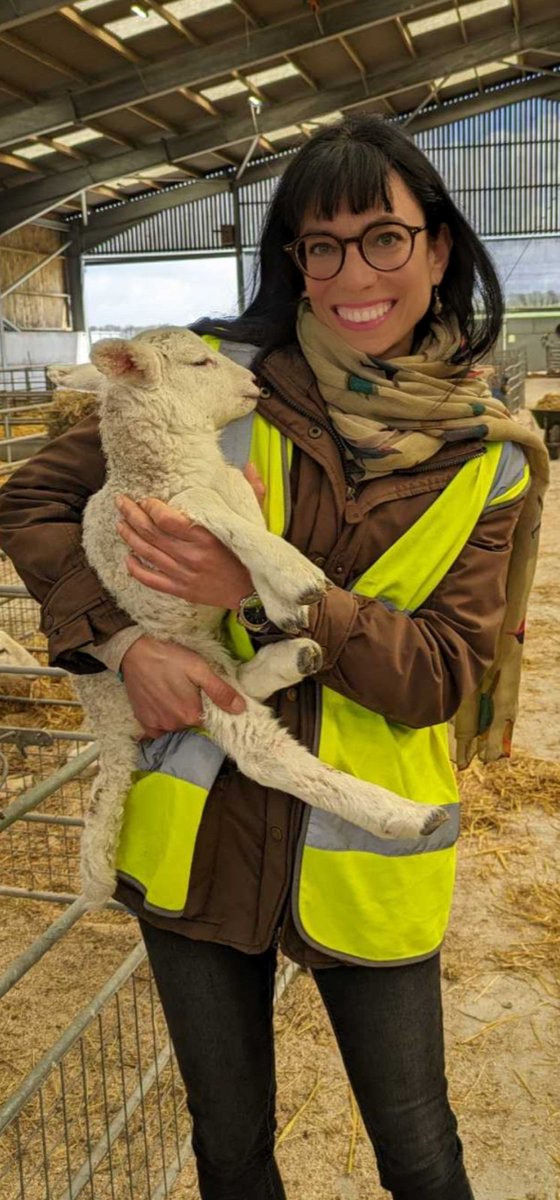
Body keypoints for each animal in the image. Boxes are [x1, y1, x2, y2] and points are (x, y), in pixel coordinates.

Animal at [77, 327, 447, 907]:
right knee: (263, 754)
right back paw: (407, 815)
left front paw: (278, 598)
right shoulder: (163, 508)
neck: (167, 461)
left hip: (204, 657)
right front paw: (295, 579)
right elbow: (215, 508)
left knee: (241, 681)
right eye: (200, 363)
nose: (256, 384)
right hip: (187, 670)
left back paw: (295, 656)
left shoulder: (229, 484)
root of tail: (110, 734)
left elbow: (245, 508)